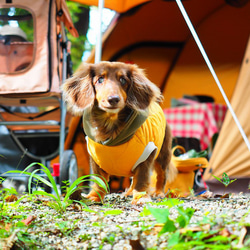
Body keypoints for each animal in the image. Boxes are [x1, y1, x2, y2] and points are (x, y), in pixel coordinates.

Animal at [62, 61, 176, 204]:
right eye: (100, 79)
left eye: (123, 80)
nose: (113, 99)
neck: (111, 128)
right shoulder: (95, 158)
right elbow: (99, 180)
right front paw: (94, 197)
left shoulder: (148, 154)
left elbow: (142, 178)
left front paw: (141, 198)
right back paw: (129, 192)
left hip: (163, 154)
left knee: (161, 174)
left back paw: (158, 193)